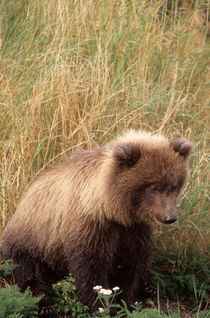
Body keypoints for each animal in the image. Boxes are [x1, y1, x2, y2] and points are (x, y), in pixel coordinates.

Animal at [2, 130, 192, 314]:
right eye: (154, 187)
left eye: (174, 185)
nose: (170, 217)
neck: (114, 209)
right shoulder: (92, 225)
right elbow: (91, 265)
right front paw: (103, 304)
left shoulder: (133, 228)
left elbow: (132, 261)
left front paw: (129, 300)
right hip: (33, 241)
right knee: (28, 271)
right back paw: (45, 305)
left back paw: (150, 287)